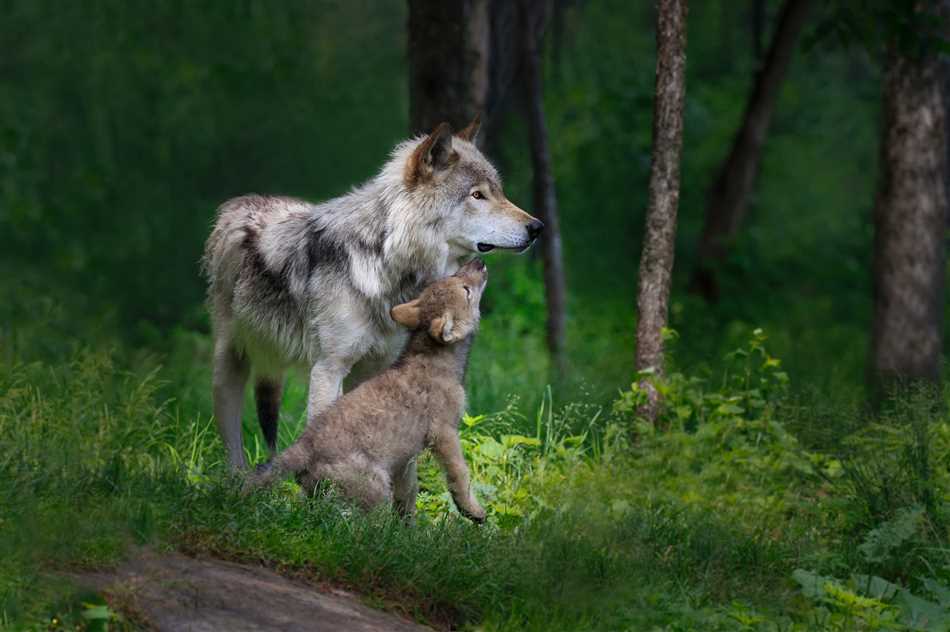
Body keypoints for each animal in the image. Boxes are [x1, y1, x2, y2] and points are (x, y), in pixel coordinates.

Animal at [203, 121, 544, 472]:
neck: (385, 261)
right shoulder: (328, 369)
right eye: (477, 195)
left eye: (499, 192)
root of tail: (241, 203)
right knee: (232, 436)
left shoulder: (377, 369)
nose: (538, 227)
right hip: (230, 366)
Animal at [245, 258, 490, 524]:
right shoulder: (444, 433)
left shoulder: (405, 458)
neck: (434, 358)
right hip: (376, 487)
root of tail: (304, 445)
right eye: (466, 290)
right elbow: (460, 475)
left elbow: (409, 492)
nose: (479, 262)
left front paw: (409, 527)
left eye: (454, 276)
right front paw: (473, 511)